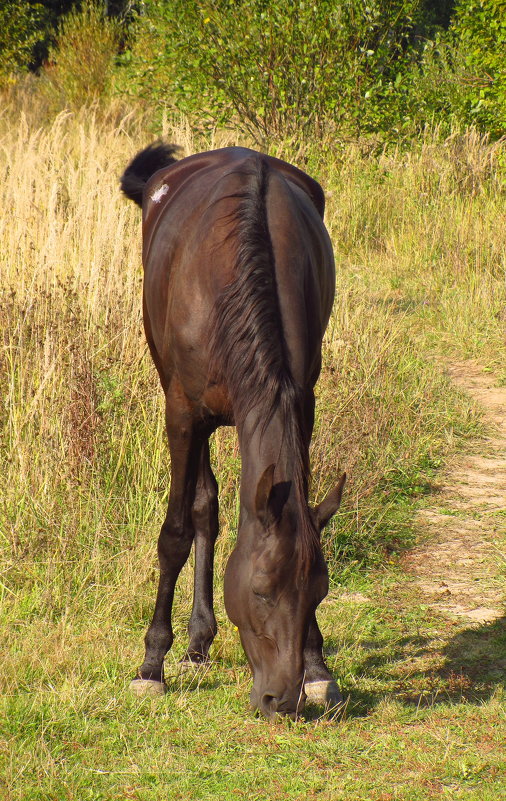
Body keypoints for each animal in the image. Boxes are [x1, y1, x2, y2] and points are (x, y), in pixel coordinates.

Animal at [120, 144, 346, 720]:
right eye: (262, 591)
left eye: (318, 592)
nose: (280, 699)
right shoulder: (183, 413)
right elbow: (177, 532)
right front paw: (151, 664)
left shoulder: (300, 403)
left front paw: (318, 669)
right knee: (202, 506)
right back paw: (191, 643)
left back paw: (201, 639)